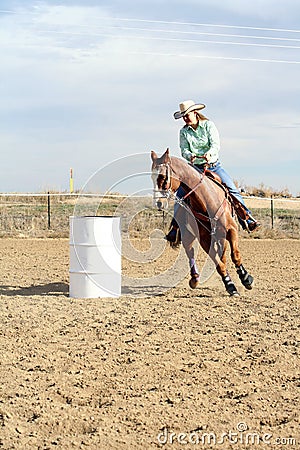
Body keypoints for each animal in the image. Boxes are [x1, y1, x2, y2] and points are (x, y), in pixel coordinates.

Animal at [152, 149, 253, 296]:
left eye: (163, 177)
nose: (158, 203)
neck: (207, 201)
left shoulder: (231, 229)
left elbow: (235, 255)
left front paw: (246, 278)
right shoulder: (205, 238)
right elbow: (218, 263)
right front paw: (230, 285)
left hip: (220, 236)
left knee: (223, 254)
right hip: (188, 235)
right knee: (191, 252)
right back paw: (194, 279)